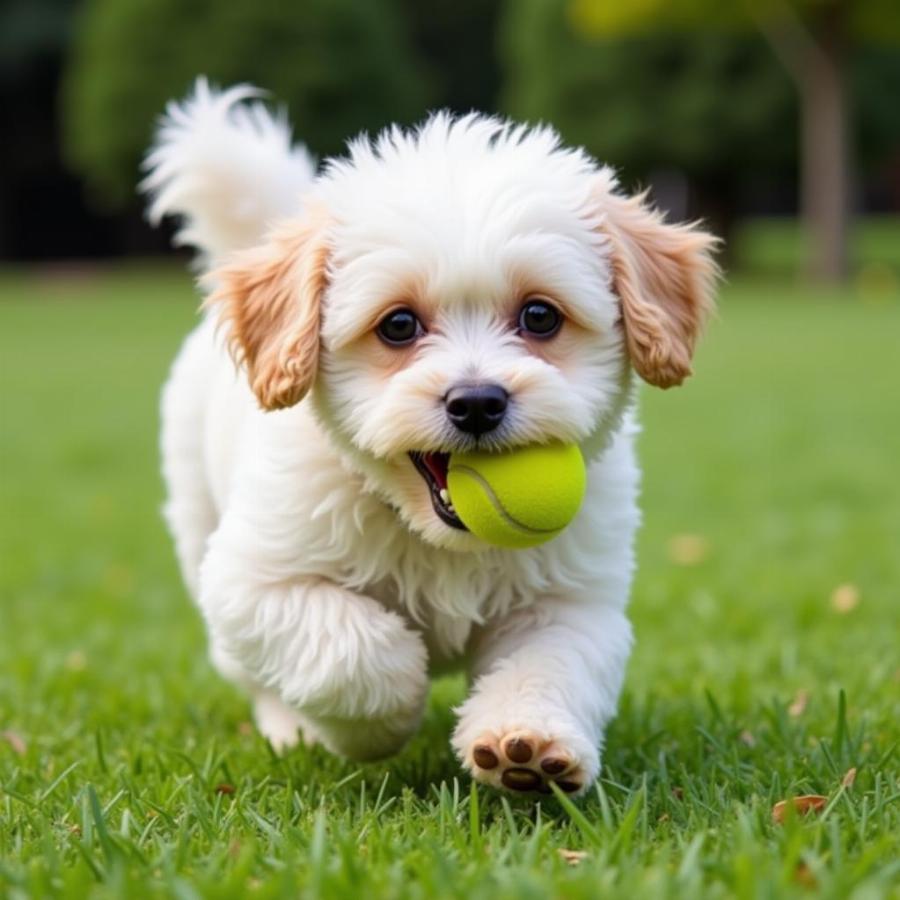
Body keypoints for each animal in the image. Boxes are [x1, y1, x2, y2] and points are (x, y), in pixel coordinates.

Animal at [144, 77, 716, 796]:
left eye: (539, 316)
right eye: (397, 325)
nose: (476, 402)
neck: (437, 537)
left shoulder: (569, 602)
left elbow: (548, 666)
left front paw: (528, 746)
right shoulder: (254, 582)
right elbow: (352, 649)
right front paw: (384, 717)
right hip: (197, 519)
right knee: (252, 673)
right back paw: (292, 730)